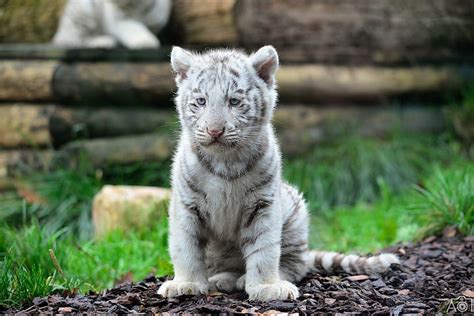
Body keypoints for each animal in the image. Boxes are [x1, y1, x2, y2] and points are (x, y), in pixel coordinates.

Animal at [157, 46, 398, 302]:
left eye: (234, 101)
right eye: (201, 101)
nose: (215, 131)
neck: (226, 161)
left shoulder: (263, 203)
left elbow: (265, 249)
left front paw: (267, 287)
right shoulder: (186, 205)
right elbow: (185, 246)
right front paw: (187, 283)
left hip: (296, 214)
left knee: (296, 265)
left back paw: (248, 279)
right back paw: (221, 279)